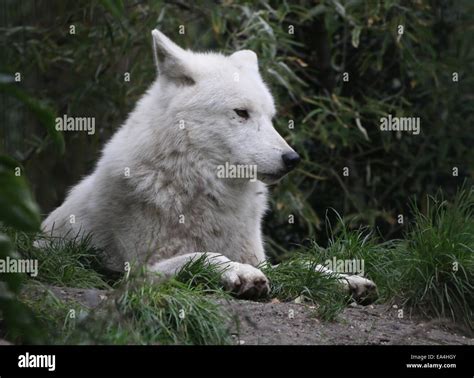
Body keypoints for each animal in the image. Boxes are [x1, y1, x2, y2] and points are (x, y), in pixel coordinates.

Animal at [40, 28, 376, 302]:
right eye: (241, 113)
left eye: (270, 117)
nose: (292, 159)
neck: (206, 191)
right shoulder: (139, 270)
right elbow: (202, 255)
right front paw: (239, 274)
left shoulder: (260, 257)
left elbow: (302, 264)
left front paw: (345, 278)